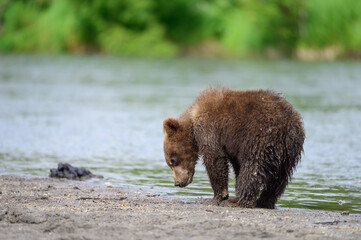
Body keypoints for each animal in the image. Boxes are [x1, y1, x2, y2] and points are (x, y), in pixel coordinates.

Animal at [162, 87, 304, 208]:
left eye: (173, 160)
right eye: (170, 163)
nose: (177, 183)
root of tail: (287, 123)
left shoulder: (210, 130)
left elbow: (215, 160)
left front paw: (219, 196)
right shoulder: (233, 147)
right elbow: (236, 165)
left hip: (259, 138)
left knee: (252, 169)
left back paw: (238, 201)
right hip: (289, 151)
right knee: (279, 178)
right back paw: (264, 201)